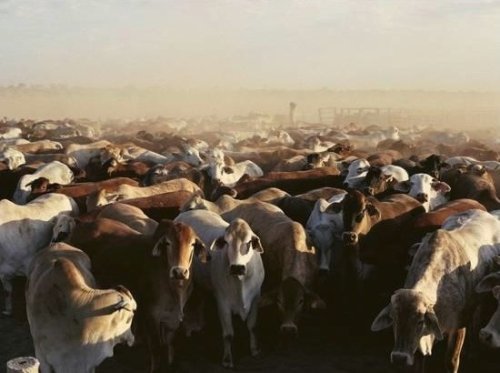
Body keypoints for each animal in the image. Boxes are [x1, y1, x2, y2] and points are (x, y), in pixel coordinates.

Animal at [175, 209, 264, 366]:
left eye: (248, 243)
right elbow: (228, 334)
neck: (240, 282)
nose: (237, 268)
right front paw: (227, 359)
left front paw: (254, 350)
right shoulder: (222, 302)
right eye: (226, 242)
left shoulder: (255, 298)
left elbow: (252, 326)